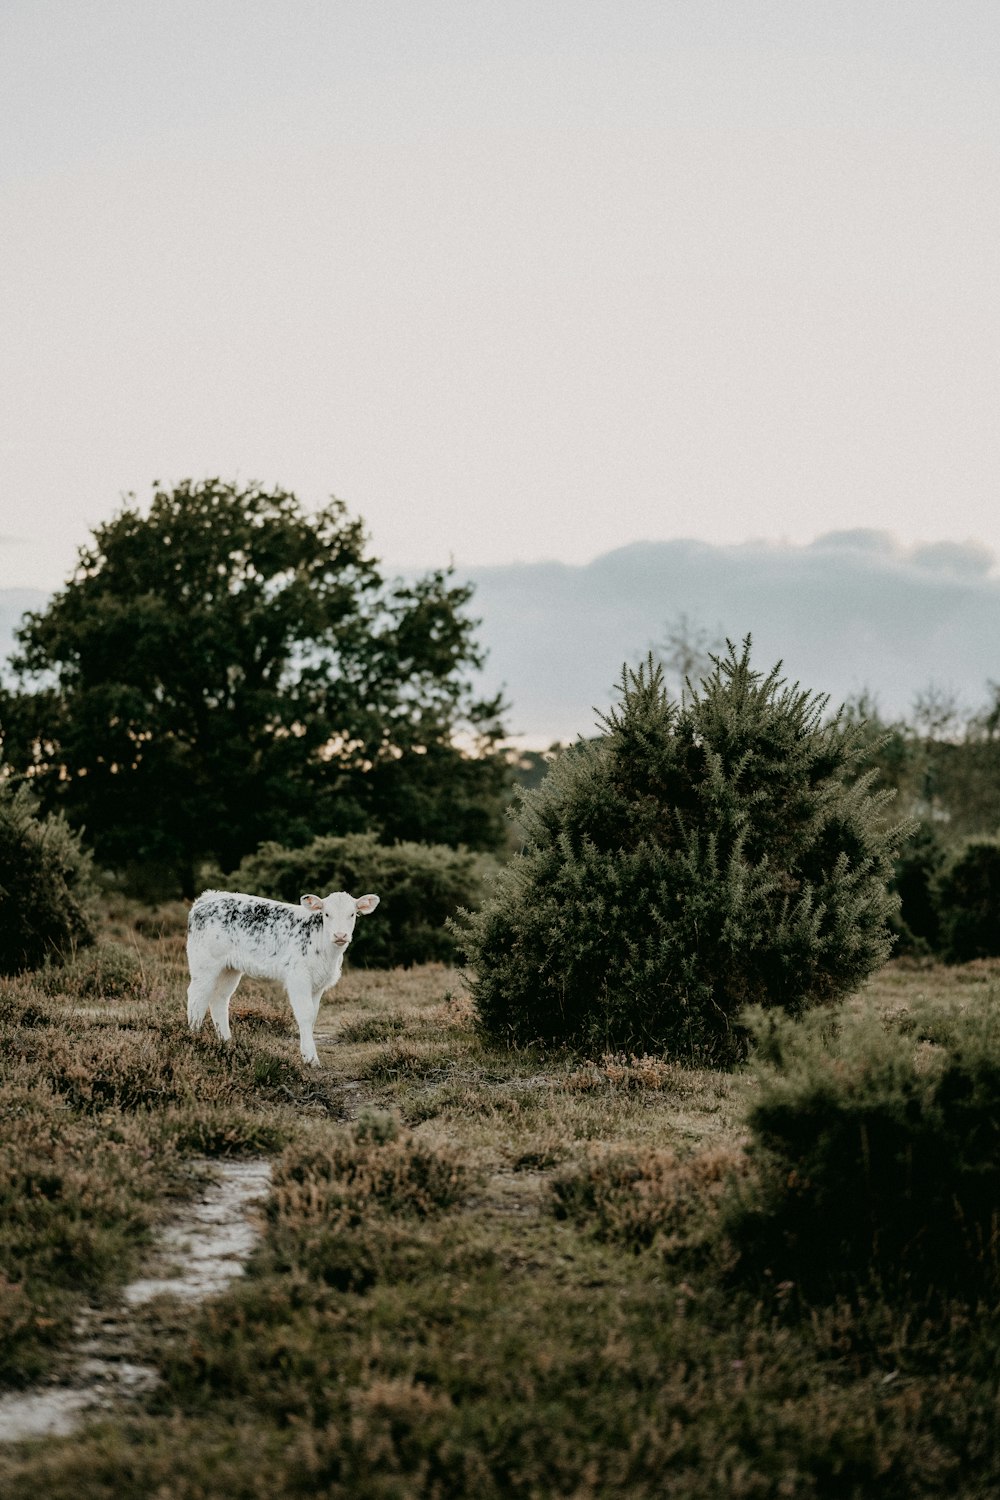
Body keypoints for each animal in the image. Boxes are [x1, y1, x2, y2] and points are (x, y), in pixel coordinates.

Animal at [185, 888, 379, 1068]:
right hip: (204, 963)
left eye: (352, 914)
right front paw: (311, 1058)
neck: (327, 952)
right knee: (197, 997)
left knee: (219, 999)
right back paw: (194, 1039)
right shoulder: (298, 977)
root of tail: (208, 897)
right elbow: (305, 1014)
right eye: (326, 914)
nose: (340, 935)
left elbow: (314, 1014)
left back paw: (227, 1043)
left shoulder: (318, 984)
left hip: (229, 968)